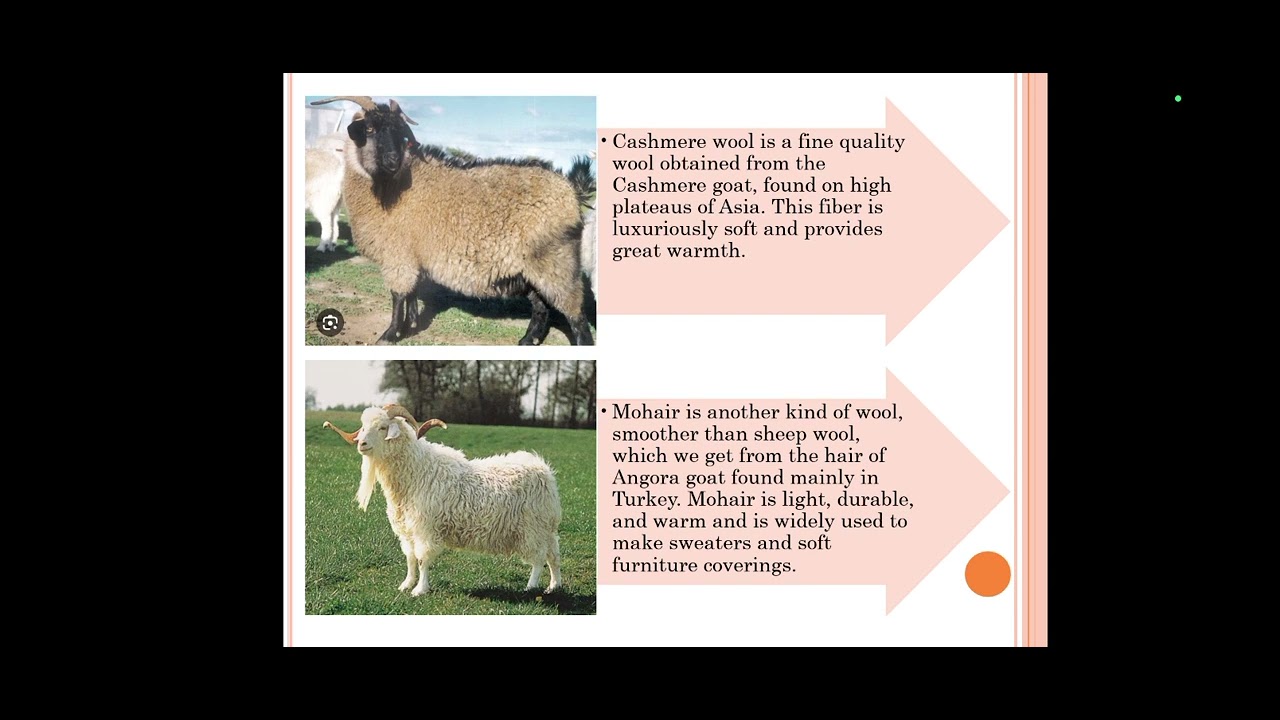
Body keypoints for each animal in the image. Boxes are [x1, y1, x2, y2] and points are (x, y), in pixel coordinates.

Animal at [309, 96, 594, 345]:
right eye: (369, 128)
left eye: (400, 133)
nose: (393, 160)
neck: (392, 186)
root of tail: (571, 189)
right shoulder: (410, 254)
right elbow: (411, 293)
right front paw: (412, 325)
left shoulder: (397, 254)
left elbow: (398, 295)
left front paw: (390, 335)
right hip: (532, 269)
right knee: (542, 308)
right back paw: (526, 341)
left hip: (556, 261)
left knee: (576, 315)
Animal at [323, 404, 563, 596]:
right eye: (363, 426)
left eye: (383, 427)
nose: (362, 444)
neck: (417, 472)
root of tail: (544, 470)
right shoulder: (408, 530)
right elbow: (410, 558)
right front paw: (406, 585)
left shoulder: (425, 529)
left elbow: (422, 559)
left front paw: (420, 590)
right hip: (545, 527)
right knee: (554, 554)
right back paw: (554, 586)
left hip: (532, 527)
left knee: (539, 557)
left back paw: (531, 587)